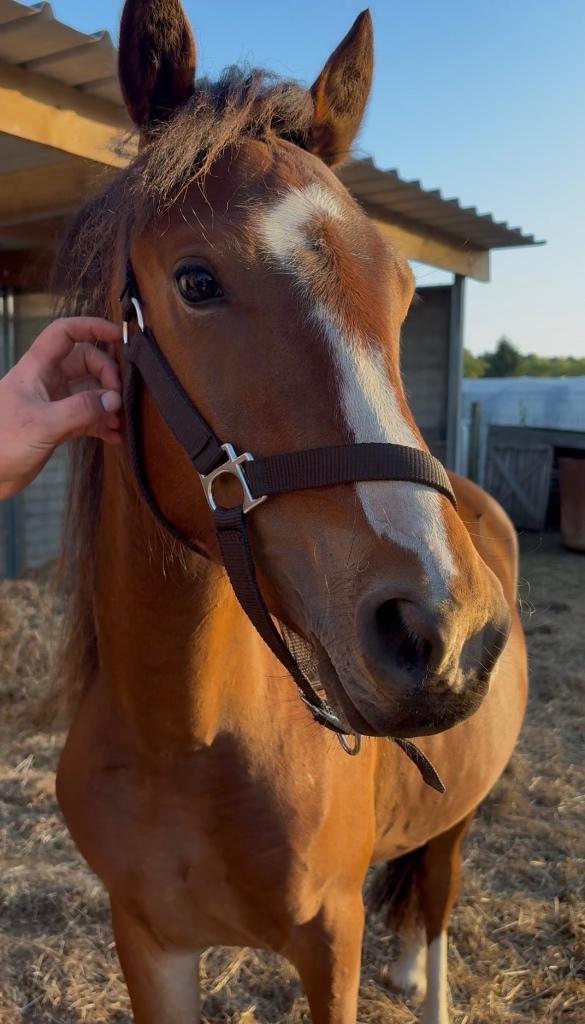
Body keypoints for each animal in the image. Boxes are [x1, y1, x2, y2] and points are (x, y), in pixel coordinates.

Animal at [54, 2, 528, 1022]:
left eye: (401, 291)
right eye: (195, 281)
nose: (445, 633)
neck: (182, 743)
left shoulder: (329, 941)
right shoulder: (146, 943)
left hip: (461, 816)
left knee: (436, 904)